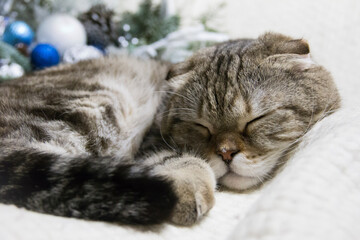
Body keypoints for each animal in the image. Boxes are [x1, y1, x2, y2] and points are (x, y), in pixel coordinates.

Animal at [0, 32, 340, 226]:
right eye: (201, 126)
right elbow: (178, 158)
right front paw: (189, 184)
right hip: (90, 105)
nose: (226, 153)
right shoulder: (152, 143)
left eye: (255, 120)